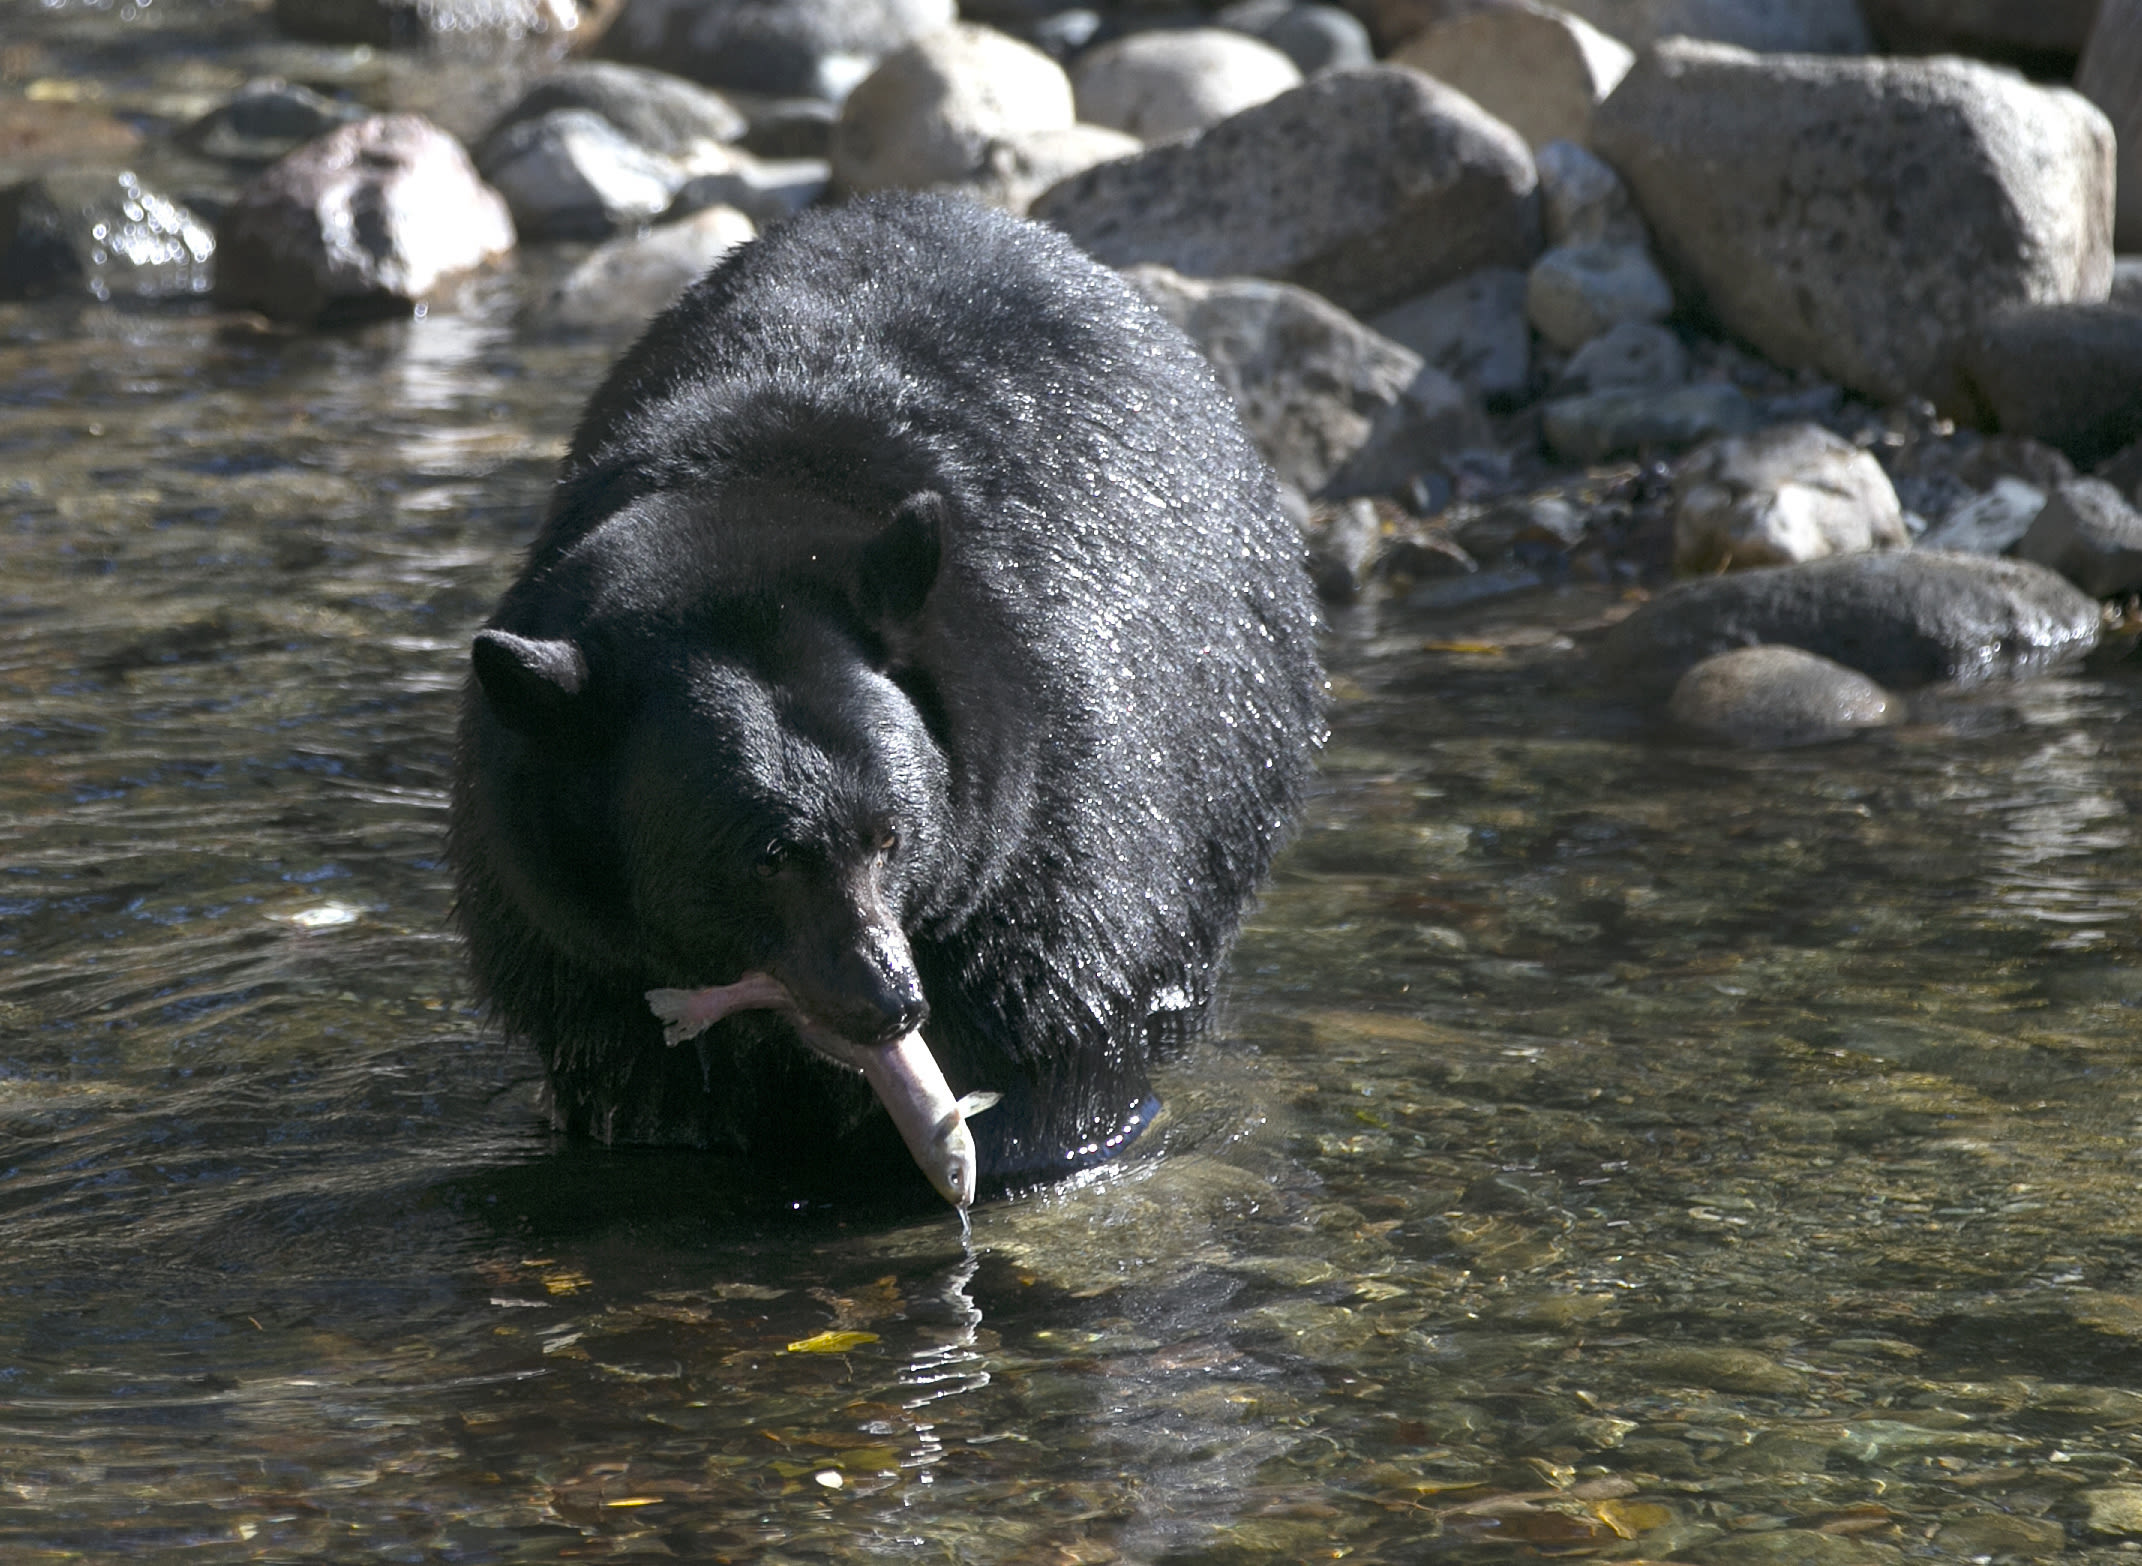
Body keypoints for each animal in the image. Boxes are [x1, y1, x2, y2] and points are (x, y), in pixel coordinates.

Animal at [449, 189, 1319, 1208]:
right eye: (767, 856)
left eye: (892, 836)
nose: (890, 1003)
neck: (738, 507)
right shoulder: (563, 928)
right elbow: (638, 1085)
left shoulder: (1053, 814)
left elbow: (1056, 1024)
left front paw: (1021, 1136)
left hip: (1239, 740)